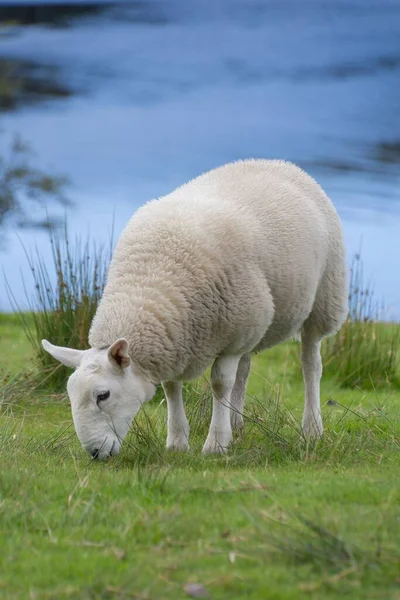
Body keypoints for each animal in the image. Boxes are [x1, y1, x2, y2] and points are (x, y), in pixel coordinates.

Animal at [43, 159, 346, 460]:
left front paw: (216, 444)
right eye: (70, 394)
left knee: (310, 364)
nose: (95, 452)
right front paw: (177, 441)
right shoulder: (177, 340)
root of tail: (277, 162)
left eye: (102, 395)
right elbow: (171, 387)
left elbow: (220, 383)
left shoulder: (230, 335)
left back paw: (311, 428)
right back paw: (236, 425)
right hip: (254, 322)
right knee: (245, 369)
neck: (147, 284)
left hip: (322, 300)